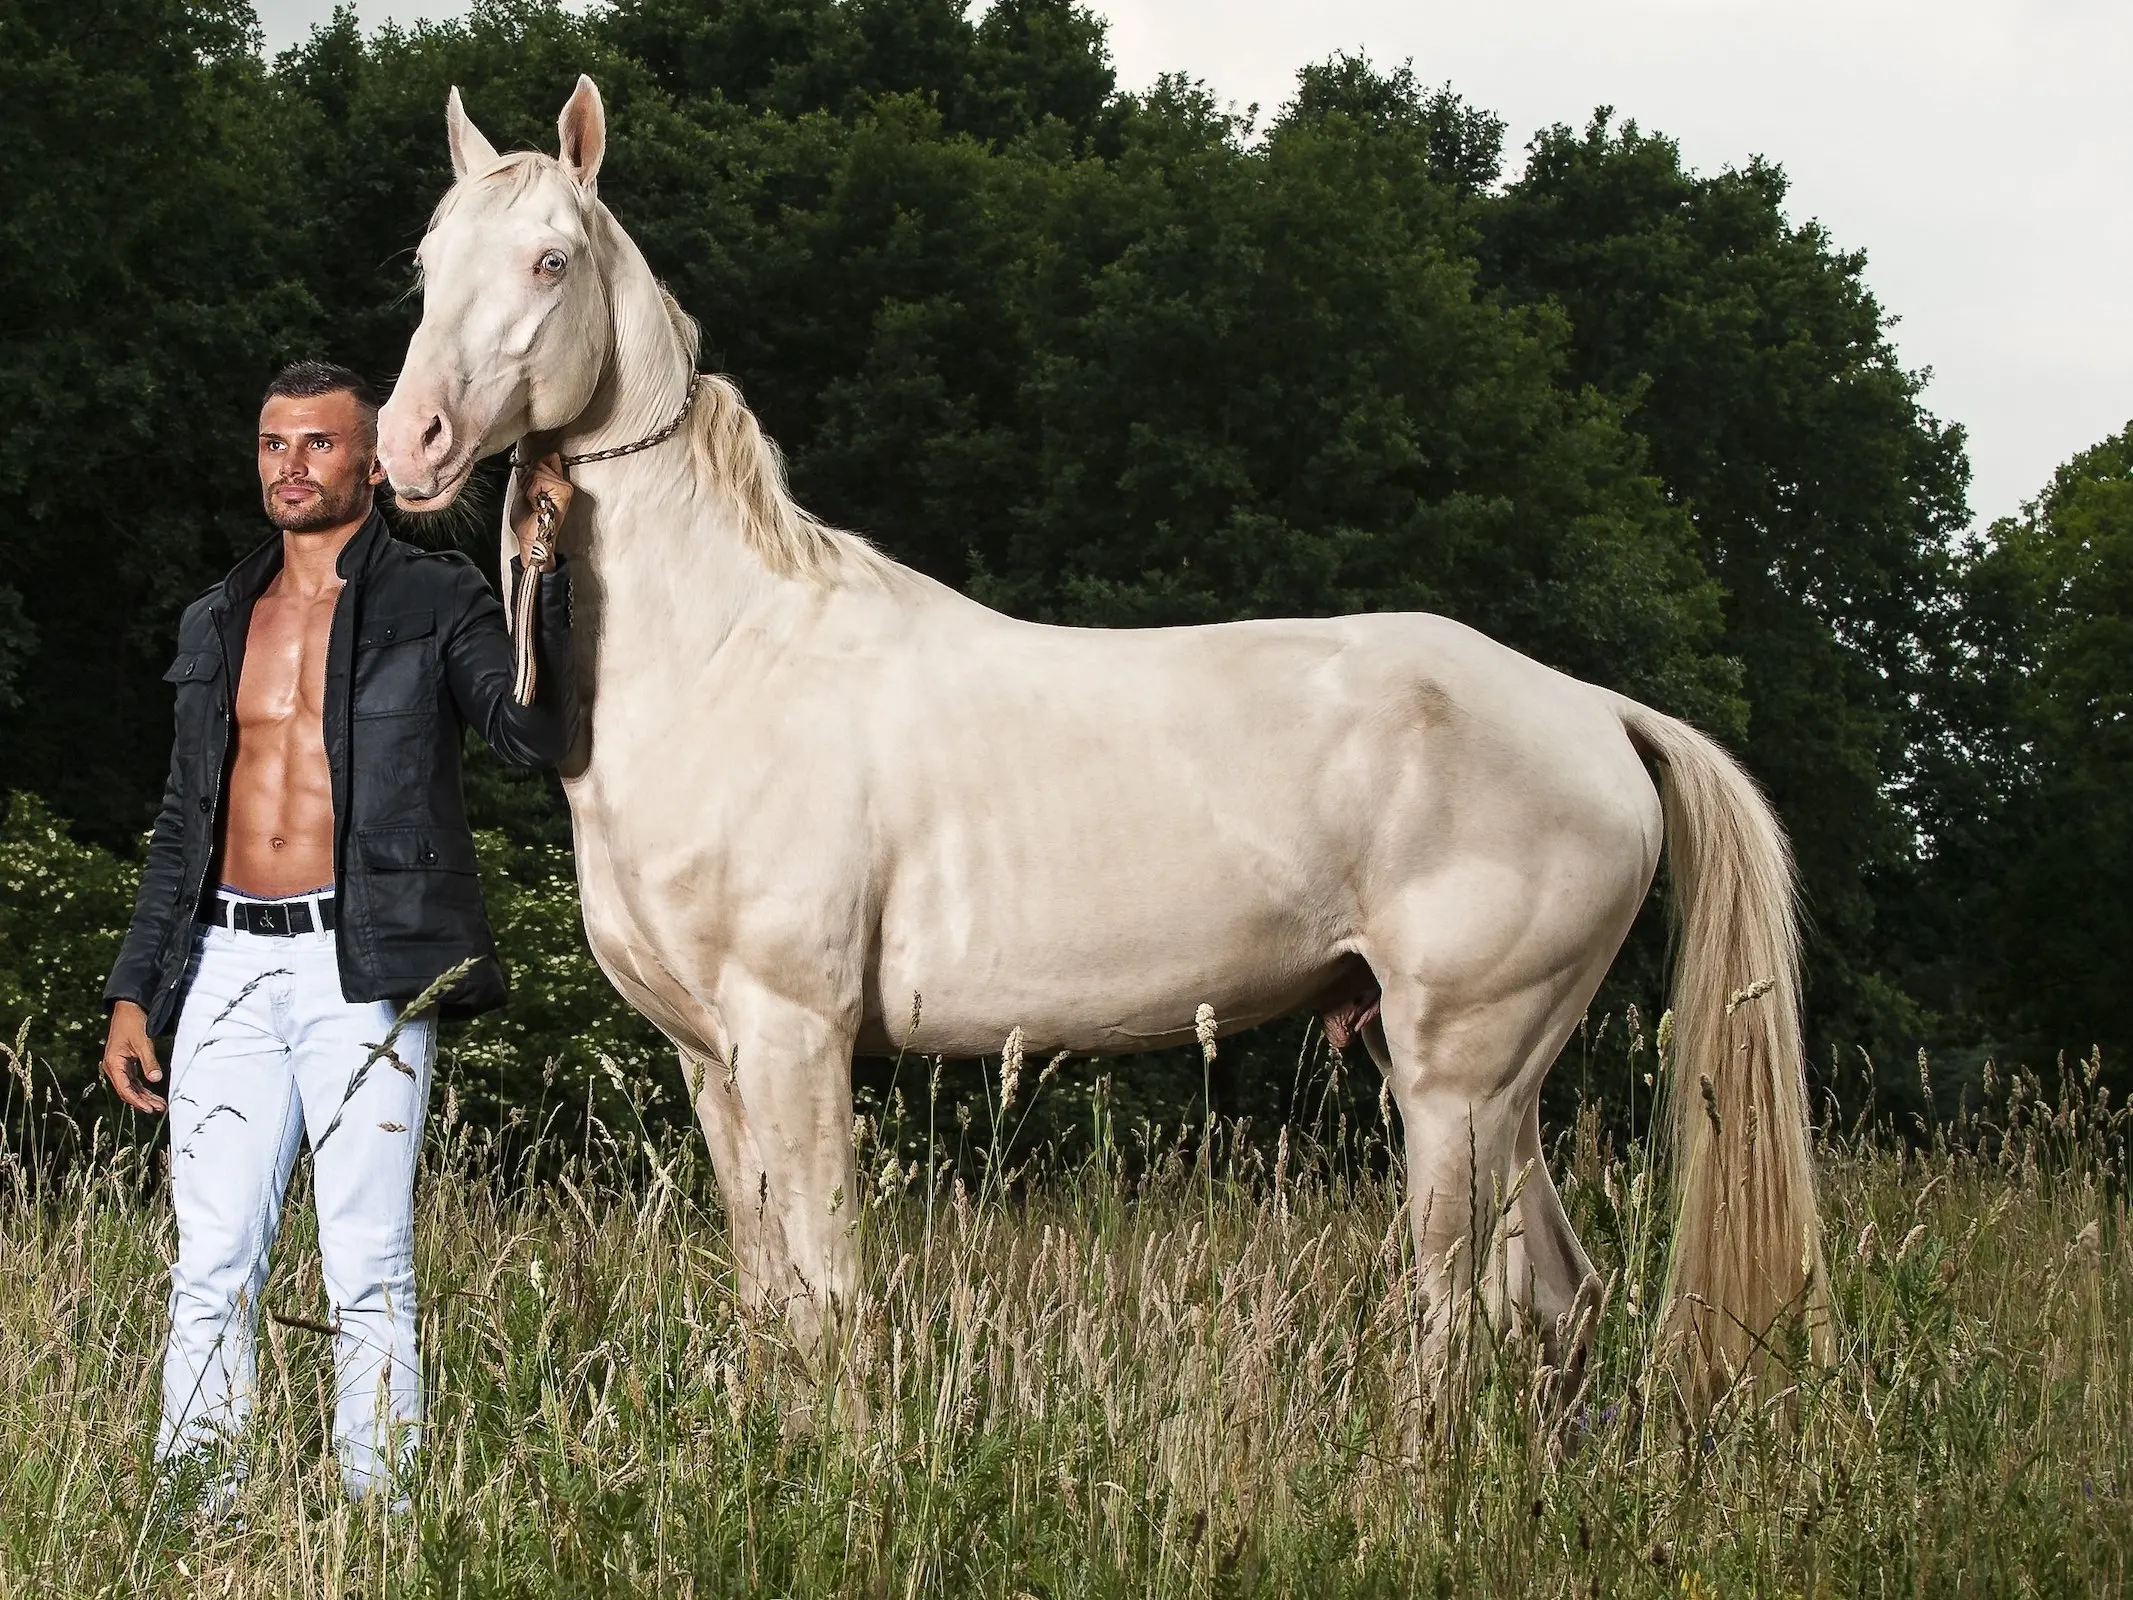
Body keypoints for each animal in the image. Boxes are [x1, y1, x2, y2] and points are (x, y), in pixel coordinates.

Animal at [377, 76, 1831, 1404]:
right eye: (429, 264)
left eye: (551, 259)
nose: (411, 443)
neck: (735, 649)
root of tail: (1595, 711)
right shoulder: (710, 1059)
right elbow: (770, 1299)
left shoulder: (793, 1035)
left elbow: (830, 1298)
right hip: (1491, 1079)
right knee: (1560, 1301)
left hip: (1458, 1076)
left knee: (1458, 1314)